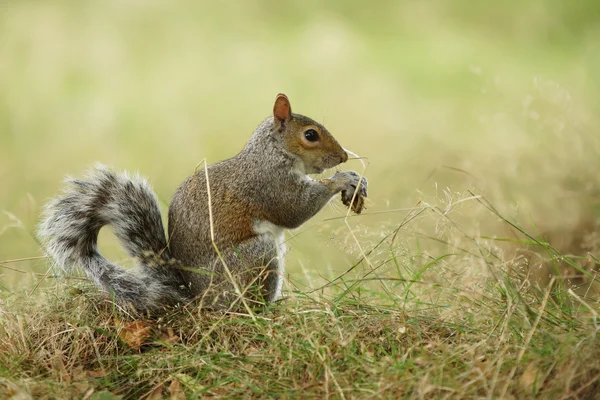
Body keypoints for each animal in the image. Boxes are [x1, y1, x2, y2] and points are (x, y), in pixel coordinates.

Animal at [38, 94, 366, 312]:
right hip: (256, 257)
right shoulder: (268, 184)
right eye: (310, 135)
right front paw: (343, 179)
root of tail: (196, 300)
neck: (273, 152)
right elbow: (294, 210)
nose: (343, 157)